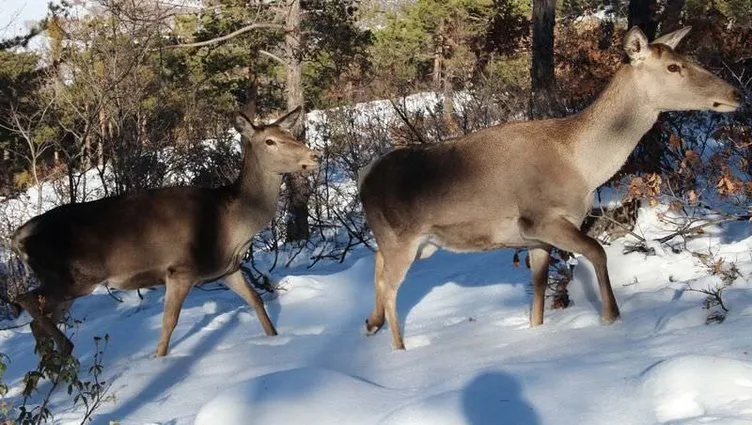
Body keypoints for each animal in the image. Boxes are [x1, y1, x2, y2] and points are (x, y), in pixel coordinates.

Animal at [10, 107, 318, 358]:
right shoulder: (180, 269)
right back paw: (66, 349)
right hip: (71, 277)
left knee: (37, 321)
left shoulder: (226, 269)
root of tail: (17, 237)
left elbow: (256, 300)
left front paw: (274, 340)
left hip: (67, 286)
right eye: (270, 141)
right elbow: (169, 323)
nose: (313, 156)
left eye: (289, 133)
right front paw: (159, 361)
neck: (233, 226)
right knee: (25, 300)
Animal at [356, 26, 740, 348]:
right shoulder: (540, 218)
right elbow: (597, 251)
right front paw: (611, 318)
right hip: (403, 238)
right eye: (674, 67)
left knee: (377, 265)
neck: (583, 166)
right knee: (390, 288)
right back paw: (399, 349)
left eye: (688, 59)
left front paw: (536, 331)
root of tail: (364, 175)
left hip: (422, 244)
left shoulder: (535, 239)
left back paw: (370, 322)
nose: (734, 92)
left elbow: (539, 289)